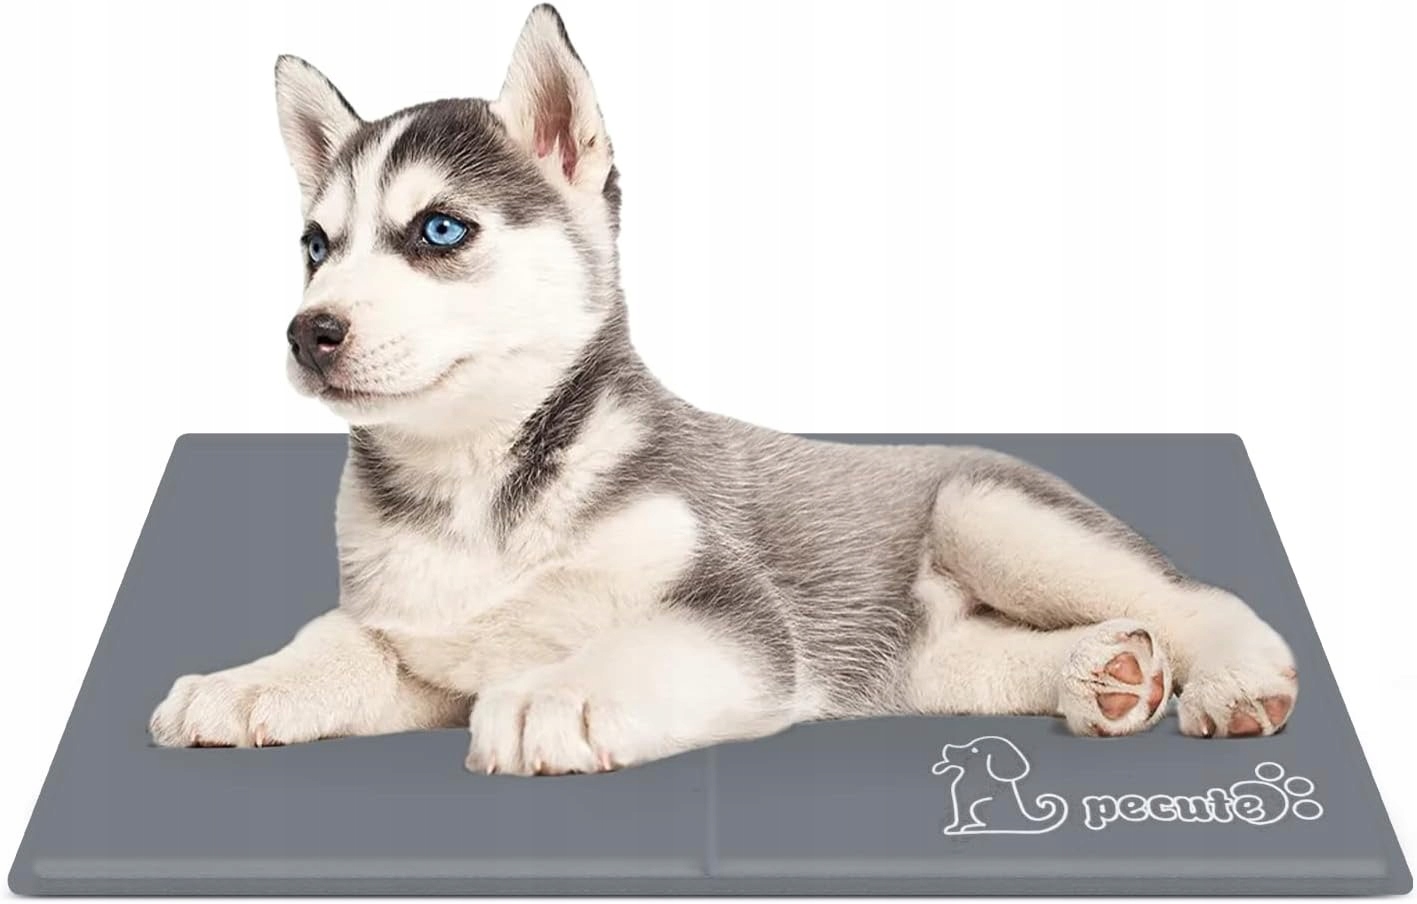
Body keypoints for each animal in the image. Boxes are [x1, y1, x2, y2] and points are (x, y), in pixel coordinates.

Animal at [149, 5, 1299, 774]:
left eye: (439, 229)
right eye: (314, 247)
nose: (309, 332)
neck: (481, 493)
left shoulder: (736, 615)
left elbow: (640, 641)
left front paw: (555, 693)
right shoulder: (417, 640)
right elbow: (331, 645)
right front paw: (245, 681)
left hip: (992, 514)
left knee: (1193, 597)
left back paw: (1232, 677)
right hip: (917, 662)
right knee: (990, 661)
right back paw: (1102, 674)